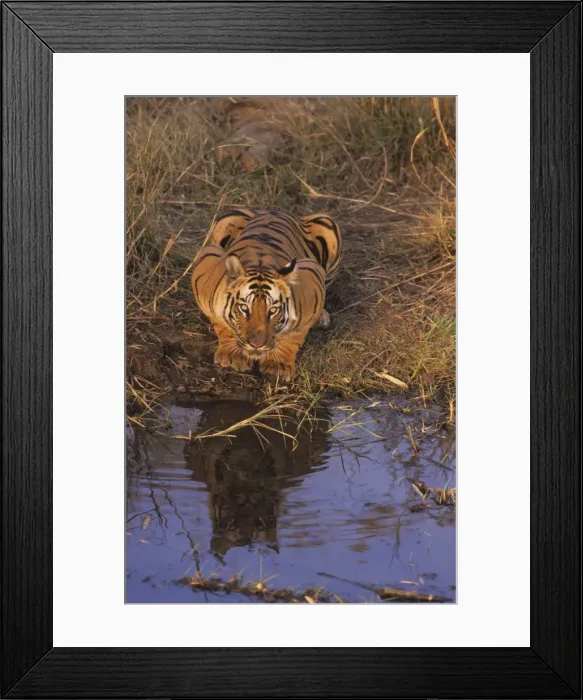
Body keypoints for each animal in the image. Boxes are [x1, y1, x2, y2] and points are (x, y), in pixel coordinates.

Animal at [191, 207, 342, 381]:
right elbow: (220, 322)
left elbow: (293, 336)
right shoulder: (206, 260)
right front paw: (232, 356)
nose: (256, 344)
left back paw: (322, 317)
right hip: (225, 219)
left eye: (273, 310)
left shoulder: (313, 276)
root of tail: (276, 210)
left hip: (328, 224)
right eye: (244, 308)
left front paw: (278, 366)